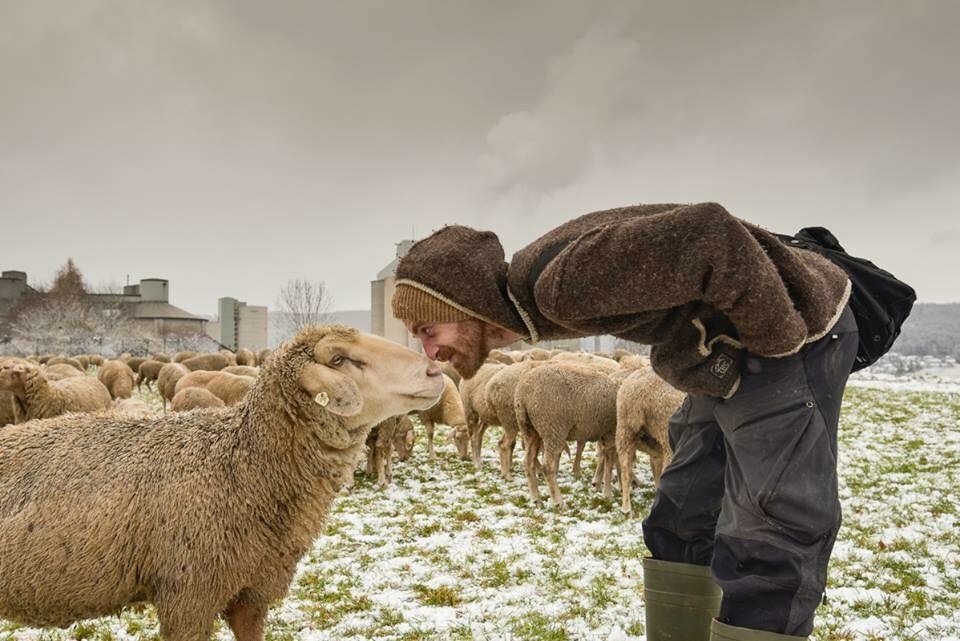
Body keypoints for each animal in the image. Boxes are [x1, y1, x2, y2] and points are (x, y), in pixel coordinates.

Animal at [516, 362, 624, 508]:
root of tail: (523, 393)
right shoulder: (611, 433)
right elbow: (610, 463)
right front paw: (608, 494)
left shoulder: (605, 435)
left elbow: (606, 459)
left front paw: (599, 485)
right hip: (553, 428)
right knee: (547, 466)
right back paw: (559, 502)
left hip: (530, 430)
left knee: (528, 462)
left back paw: (536, 499)